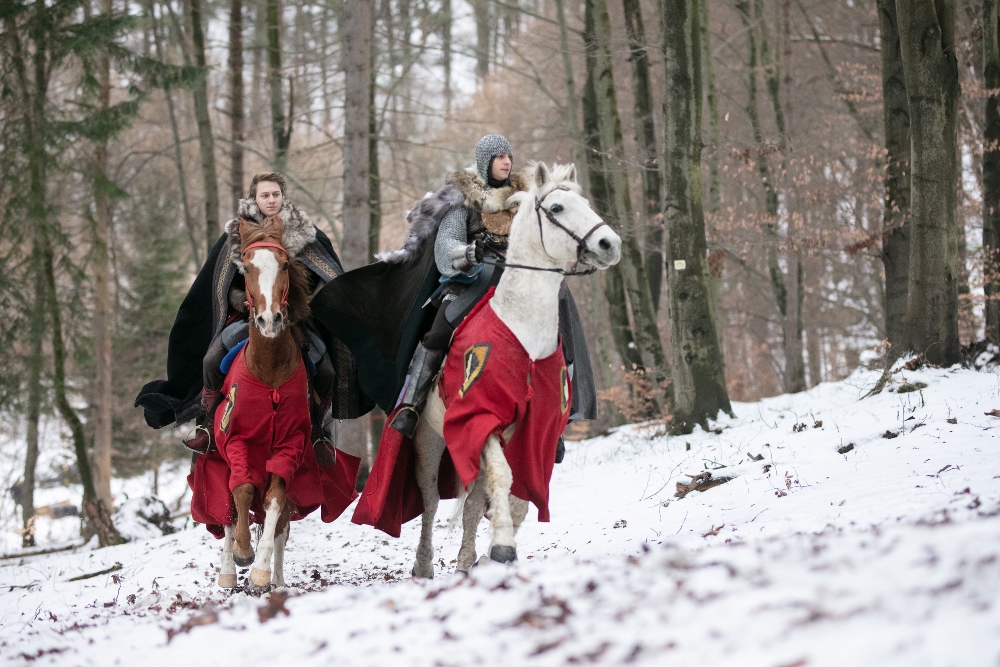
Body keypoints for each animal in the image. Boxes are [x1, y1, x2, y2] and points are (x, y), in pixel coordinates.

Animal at [410, 163, 620, 580]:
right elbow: (503, 479)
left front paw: (492, 551)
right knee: (429, 500)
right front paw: (503, 547)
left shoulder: (532, 433)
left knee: (473, 503)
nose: (610, 244)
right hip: (429, 439)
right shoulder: (480, 420)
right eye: (556, 207)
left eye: (585, 203)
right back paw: (424, 565)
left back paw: (465, 561)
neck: (522, 328)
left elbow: (516, 495)